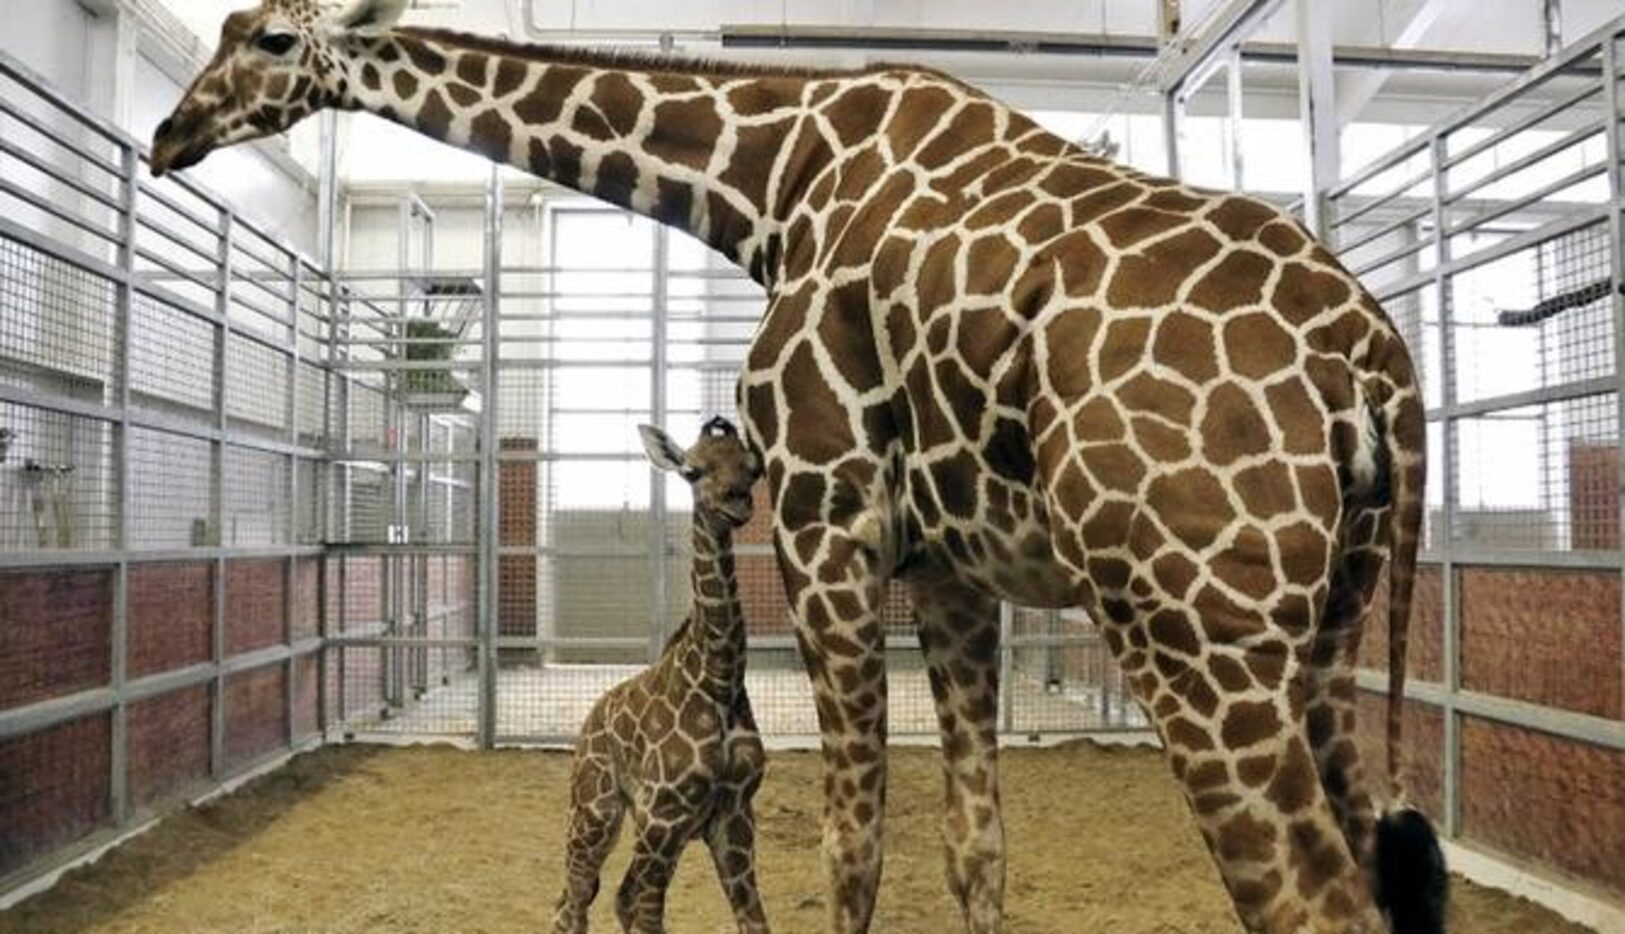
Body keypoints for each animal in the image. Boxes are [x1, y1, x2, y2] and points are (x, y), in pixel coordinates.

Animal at [552, 419, 767, 934]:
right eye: (692, 470)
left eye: (753, 467)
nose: (736, 502)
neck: (720, 678)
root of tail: (590, 719)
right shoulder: (662, 815)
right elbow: (647, 917)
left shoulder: (734, 816)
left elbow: (754, 920)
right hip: (595, 809)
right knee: (573, 904)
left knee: (609, 896)